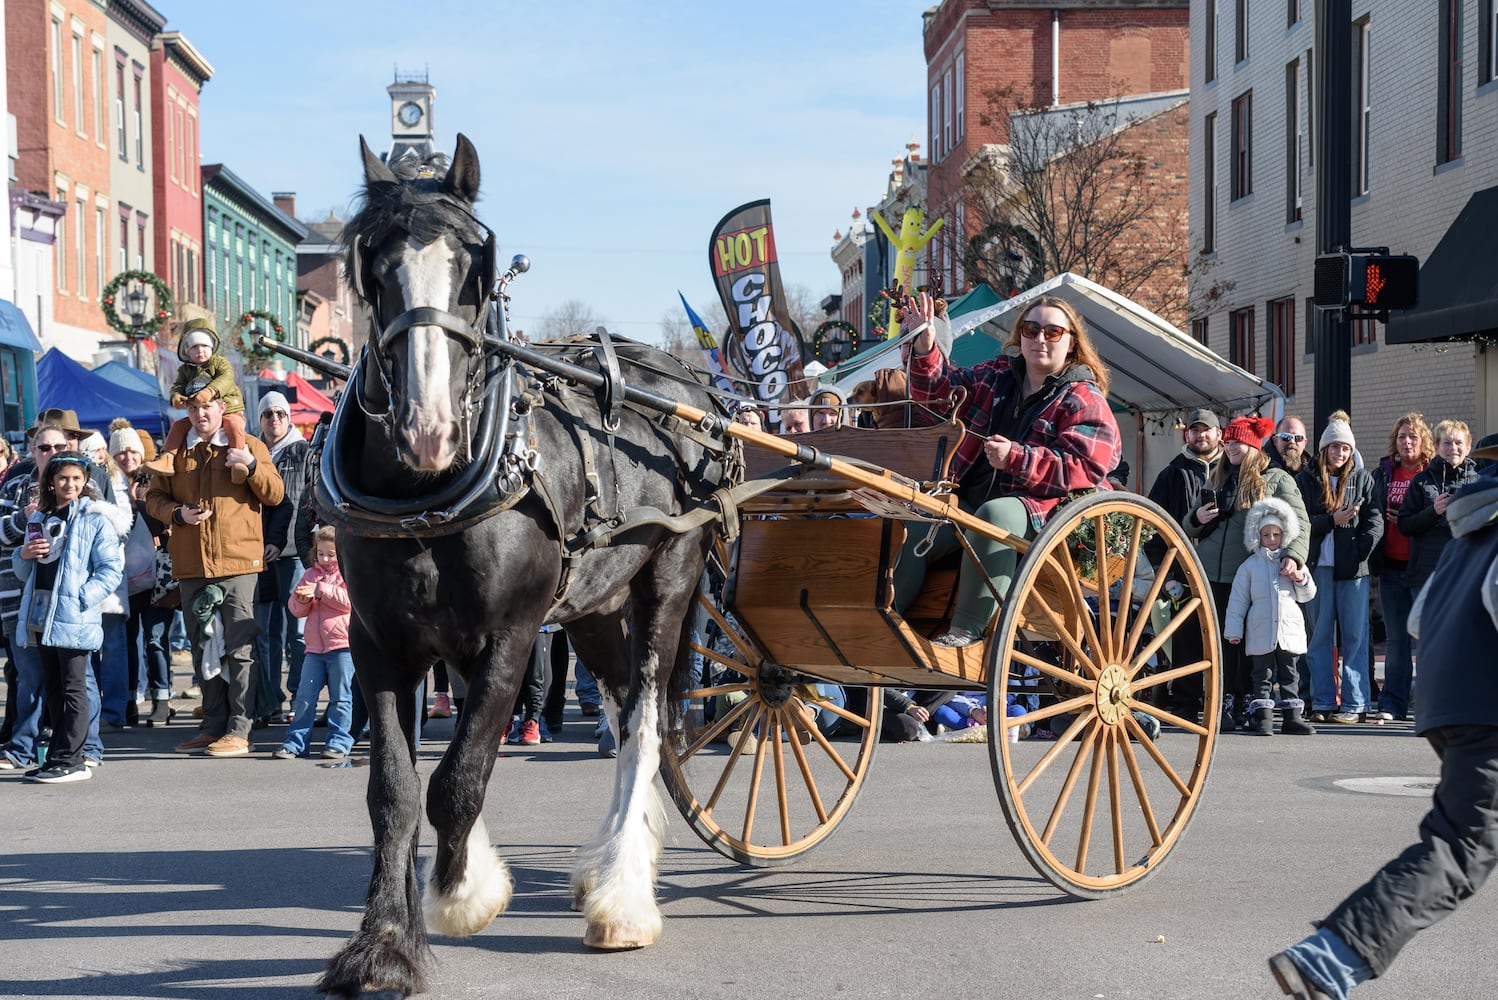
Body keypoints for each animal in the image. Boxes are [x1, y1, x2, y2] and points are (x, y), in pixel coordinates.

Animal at [319, 136, 728, 994]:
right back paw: (612, 863)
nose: (429, 429)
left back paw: (623, 898)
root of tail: (693, 389)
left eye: (475, 268)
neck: (430, 497)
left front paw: (460, 895)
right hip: (596, 607)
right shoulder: (381, 642)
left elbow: (458, 780)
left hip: (670, 580)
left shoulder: (512, 635)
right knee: (618, 704)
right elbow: (397, 790)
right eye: (375, 267)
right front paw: (384, 945)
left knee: (647, 716)